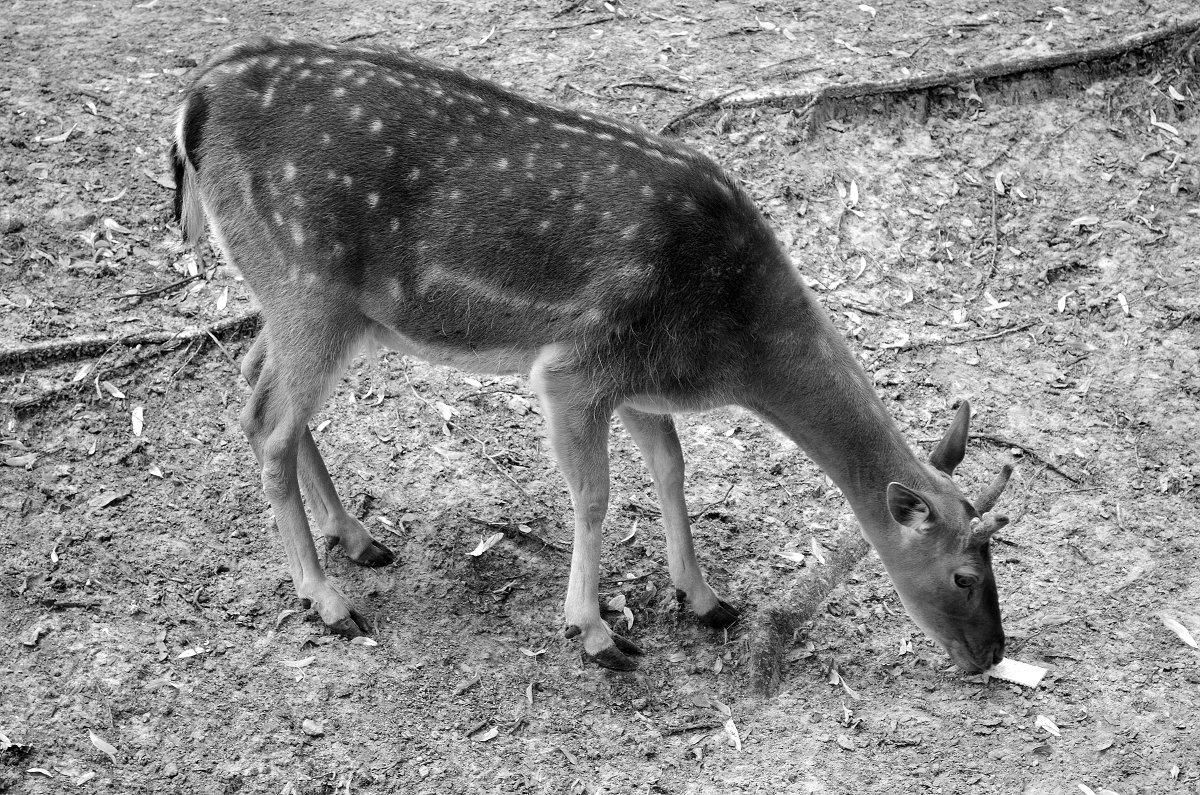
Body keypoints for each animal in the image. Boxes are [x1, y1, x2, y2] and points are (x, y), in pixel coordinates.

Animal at [169, 37, 1012, 672]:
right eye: (965, 573)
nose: (992, 654)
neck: (729, 346)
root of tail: (193, 101)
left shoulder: (637, 381)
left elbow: (672, 468)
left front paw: (705, 600)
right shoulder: (576, 368)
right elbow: (597, 494)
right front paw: (597, 632)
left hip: (314, 304)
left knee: (258, 383)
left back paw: (359, 539)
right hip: (306, 285)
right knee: (266, 423)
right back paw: (329, 600)